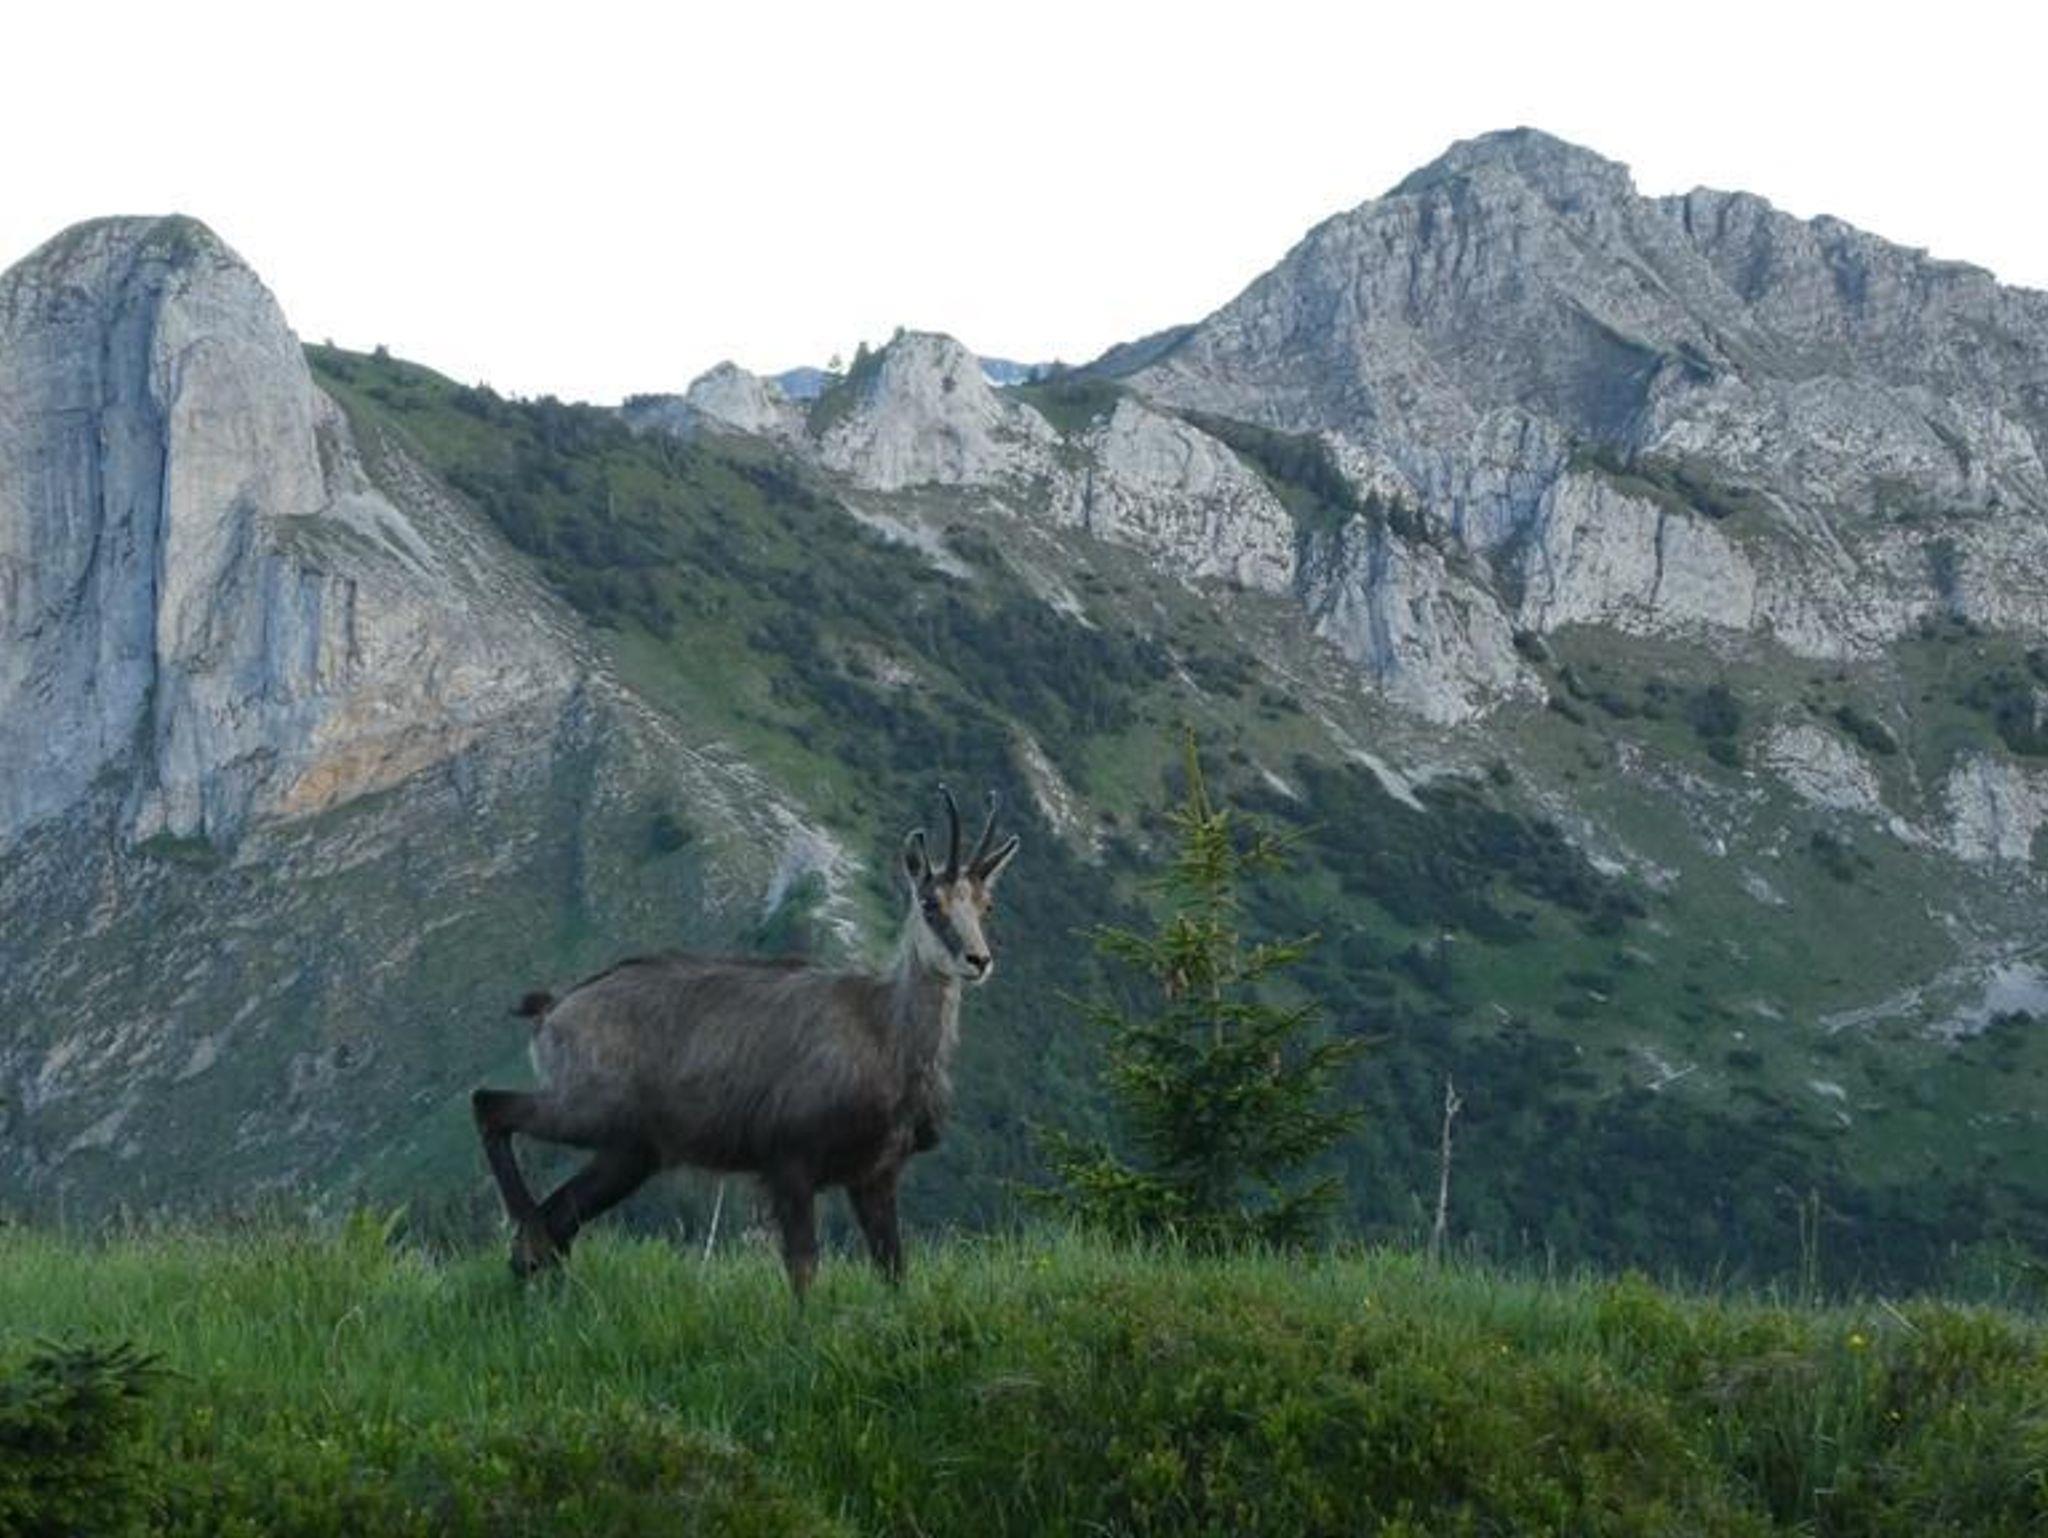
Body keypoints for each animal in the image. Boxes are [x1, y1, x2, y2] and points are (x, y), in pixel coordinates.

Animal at [471, 788, 1019, 1296]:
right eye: (930, 903)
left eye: (986, 904)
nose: (978, 960)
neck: (885, 1035)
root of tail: (554, 1009)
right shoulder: (790, 1163)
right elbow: (804, 1268)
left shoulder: (875, 1175)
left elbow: (894, 1270)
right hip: (587, 1106)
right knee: (491, 1106)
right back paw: (528, 1231)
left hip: (629, 1151)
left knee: (563, 1211)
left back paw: (539, 1265)